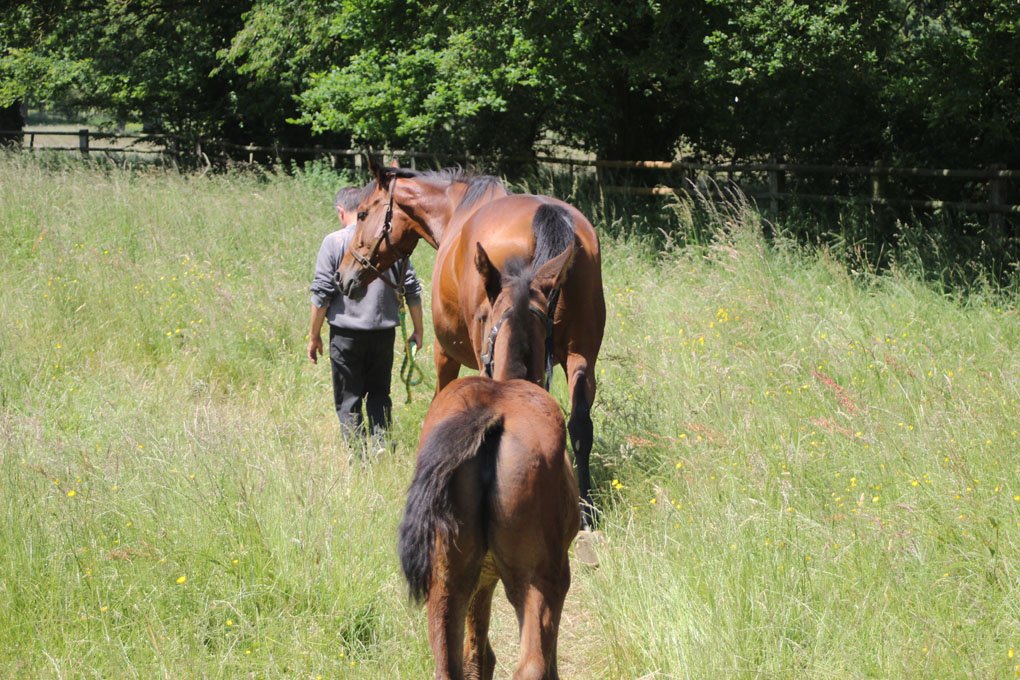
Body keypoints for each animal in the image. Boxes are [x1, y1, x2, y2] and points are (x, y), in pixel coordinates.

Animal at [336, 165, 606, 528]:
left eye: (363, 213)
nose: (344, 276)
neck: (454, 211)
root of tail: (550, 214)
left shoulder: (445, 354)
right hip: (582, 356)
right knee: (579, 425)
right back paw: (584, 509)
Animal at [398, 376, 580, 680]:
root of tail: (490, 414)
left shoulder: (481, 577)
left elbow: (477, 652)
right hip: (541, 577)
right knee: (532, 664)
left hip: (447, 580)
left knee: (448, 665)